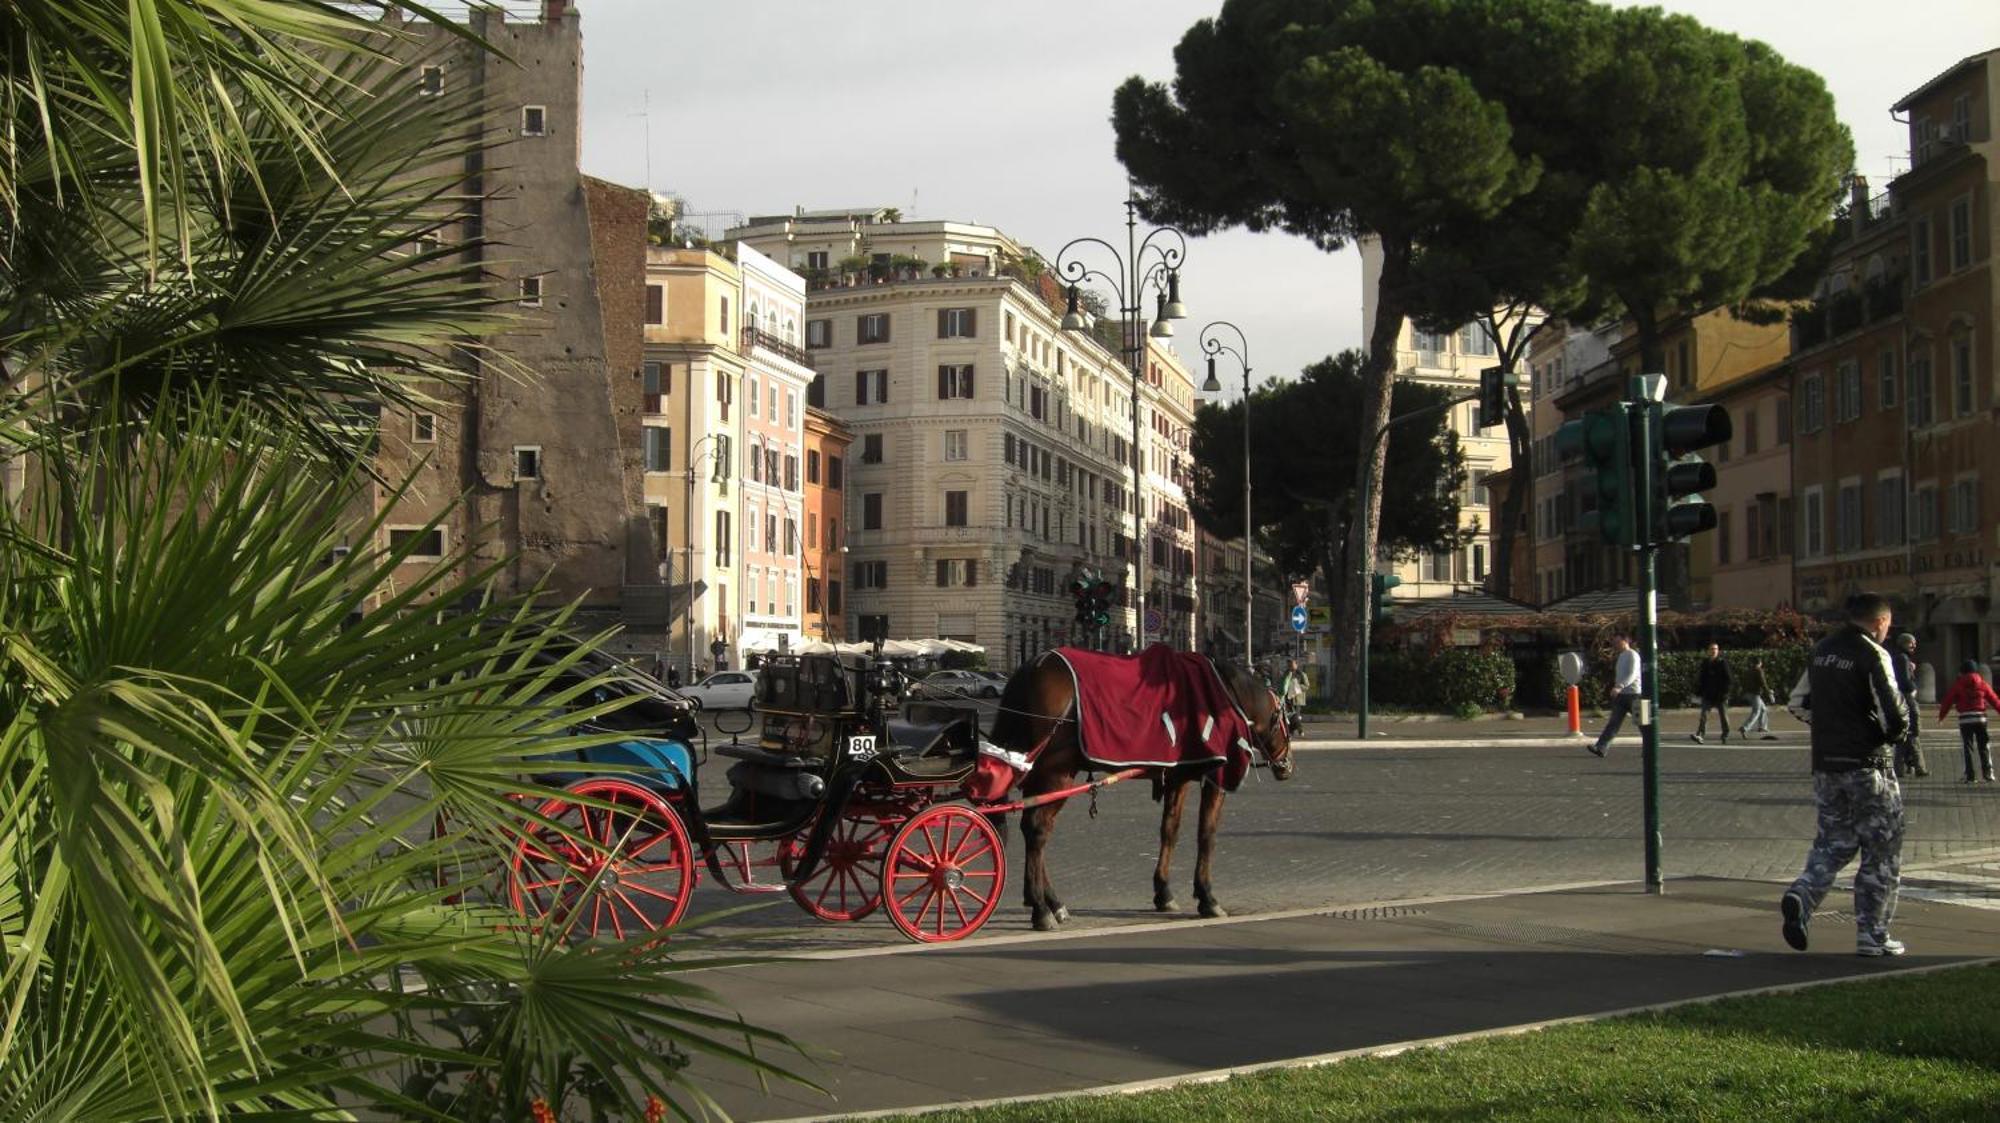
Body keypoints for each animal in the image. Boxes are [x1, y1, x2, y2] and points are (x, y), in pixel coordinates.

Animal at [984, 647, 1296, 927]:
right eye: (1289, 722)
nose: (1288, 766)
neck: (1226, 694)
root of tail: (1032, 667)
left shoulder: (1177, 777)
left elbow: (1169, 830)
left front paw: (1164, 891)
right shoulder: (1215, 776)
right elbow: (1206, 835)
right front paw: (1207, 896)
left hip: (1036, 772)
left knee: (1033, 828)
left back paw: (1049, 900)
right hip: (1056, 774)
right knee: (1037, 830)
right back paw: (1041, 908)